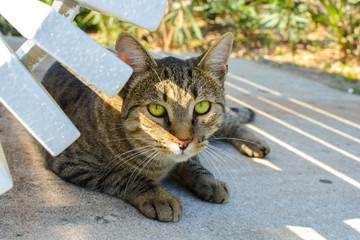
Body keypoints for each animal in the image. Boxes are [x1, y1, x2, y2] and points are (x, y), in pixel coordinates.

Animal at [42, 32, 268, 223]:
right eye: (156, 109)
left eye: (202, 107)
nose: (183, 141)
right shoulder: (72, 161)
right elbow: (125, 175)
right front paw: (159, 196)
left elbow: (193, 161)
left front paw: (208, 180)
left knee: (232, 121)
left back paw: (255, 143)